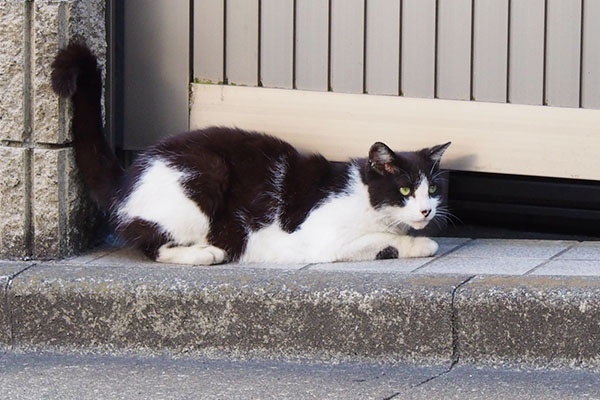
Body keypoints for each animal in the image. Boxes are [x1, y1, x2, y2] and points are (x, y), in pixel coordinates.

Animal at [51, 43, 450, 266]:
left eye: (432, 190)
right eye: (404, 190)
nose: (426, 210)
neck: (364, 197)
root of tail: (128, 175)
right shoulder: (324, 237)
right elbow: (383, 243)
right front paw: (421, 242)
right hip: (205, 176)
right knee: (151, 244)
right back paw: (204, 254)